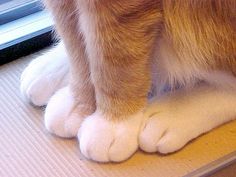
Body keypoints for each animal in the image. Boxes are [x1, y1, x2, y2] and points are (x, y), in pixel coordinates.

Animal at [20, 0, 236, 162]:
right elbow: (75, 44)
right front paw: (78, 102)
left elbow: (115, 59)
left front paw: (112, 123)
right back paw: (50, 69)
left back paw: (175, 113)